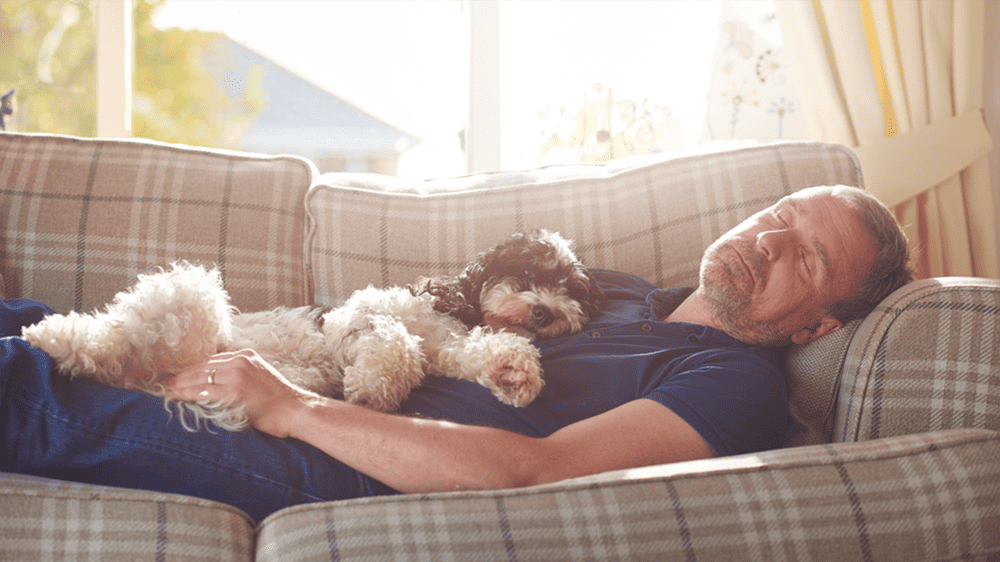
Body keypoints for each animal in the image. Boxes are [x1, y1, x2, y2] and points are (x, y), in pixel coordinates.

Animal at [21, 230, 600, 430]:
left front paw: (514, 372)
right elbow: (396, 341)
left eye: (571, 292)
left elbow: (484, 349)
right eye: (527, 273)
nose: (547, 312)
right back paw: (54, 337)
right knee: (112, 339)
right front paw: (373, 388)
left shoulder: (453, 348)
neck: (453, 313)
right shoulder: (360, 316)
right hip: (190, 294)